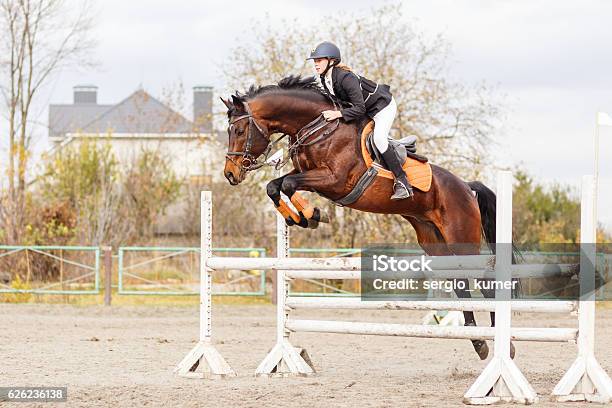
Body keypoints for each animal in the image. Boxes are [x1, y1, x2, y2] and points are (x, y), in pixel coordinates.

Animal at [222, 75, 510, 358]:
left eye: (239, 131)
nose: (230, 174)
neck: (318, 128)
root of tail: (467, 187)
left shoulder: (334, 180)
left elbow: (289, 184)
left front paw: (311, 215)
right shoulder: (309, 174)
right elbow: (275, 185)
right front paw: (305, 217)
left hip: (461, 236)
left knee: (483, 280)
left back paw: (500, 343)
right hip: (433, 240)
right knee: (459, 281)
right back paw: (478, 341)